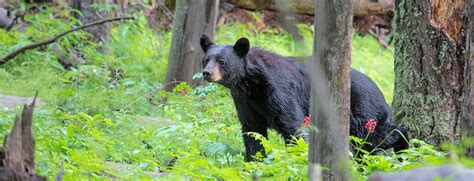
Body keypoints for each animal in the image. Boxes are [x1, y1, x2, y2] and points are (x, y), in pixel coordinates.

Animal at [198, 34, 410, 161]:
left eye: (222, 60)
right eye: (206, 59)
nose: (207, 73)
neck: (251, 83)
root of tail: (378, 88)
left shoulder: (279, 91)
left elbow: (294, 126)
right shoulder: (245, 101)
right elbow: (252, 131)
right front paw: (254, 162)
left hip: (363, 111)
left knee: (377, 137)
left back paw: (404, 147)